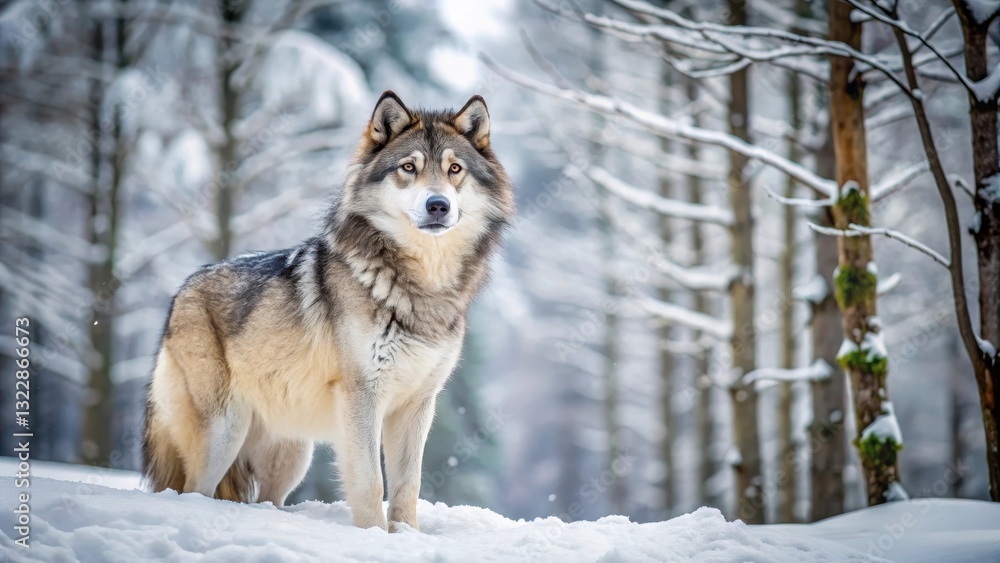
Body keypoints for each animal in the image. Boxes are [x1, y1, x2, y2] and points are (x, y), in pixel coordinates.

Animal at [142, 91, 514, 532]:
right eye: (409, 168)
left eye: (455, 169)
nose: (437, 205)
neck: (420, 287)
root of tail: (183, 288)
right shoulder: (362, 396)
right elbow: (371, 482)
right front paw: (374, 536)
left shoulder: (418, 405)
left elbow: (408, 486)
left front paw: (407, 534)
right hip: (224, 433)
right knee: (192, 491)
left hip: (291, 456)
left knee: (265, 498)